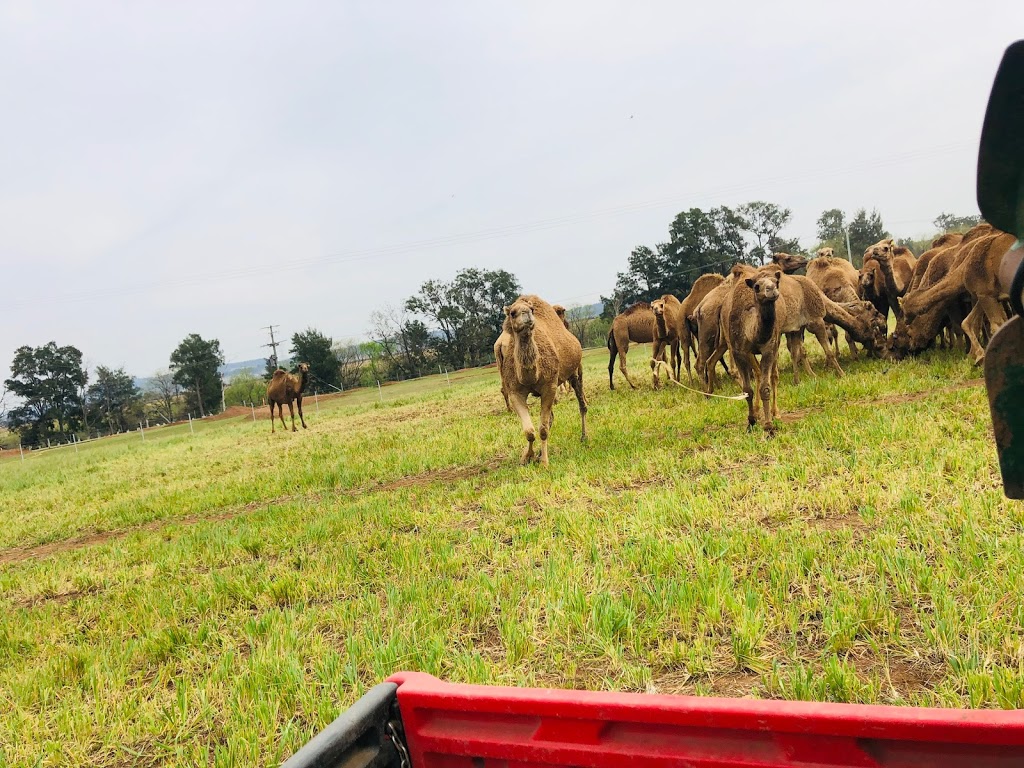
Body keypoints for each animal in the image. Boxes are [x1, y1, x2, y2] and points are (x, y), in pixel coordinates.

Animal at [499, 292, 589, 462]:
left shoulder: (549, 386)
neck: (530, 376)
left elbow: (543, 429)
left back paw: (584, 437)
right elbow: (529, 431)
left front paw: (544, 461)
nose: (526, 314)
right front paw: (527, 457)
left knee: (581, 404)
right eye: (512, 313)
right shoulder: (515, 391)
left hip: (574, 372)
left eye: (532, 309)